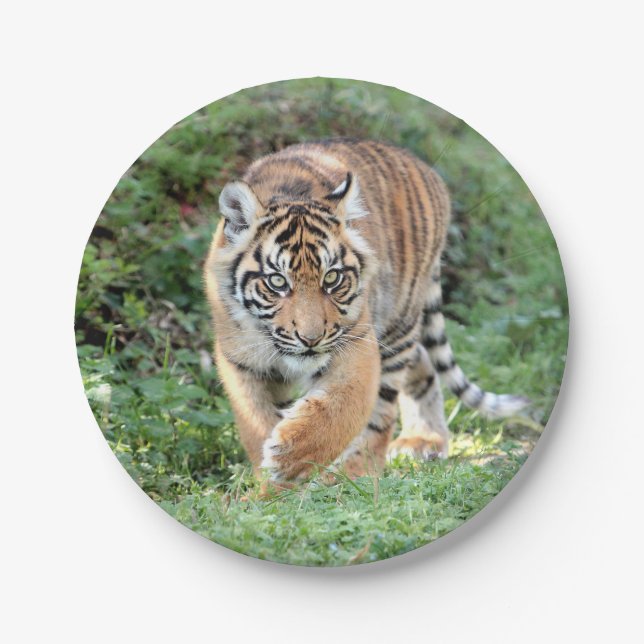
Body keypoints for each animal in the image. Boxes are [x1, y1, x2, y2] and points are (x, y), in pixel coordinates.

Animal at [204, 138, 528, 484]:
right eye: (277, 281)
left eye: (331, 278)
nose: (310, 339)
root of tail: (423, 166)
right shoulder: (241, 361)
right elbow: (256, 423)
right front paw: (270, 483)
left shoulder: (358, 345)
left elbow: (341, 409)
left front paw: (289, 459)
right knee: (423, 364)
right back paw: (424, 440)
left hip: (398, 325)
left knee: (381, 414)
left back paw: (355, 475)